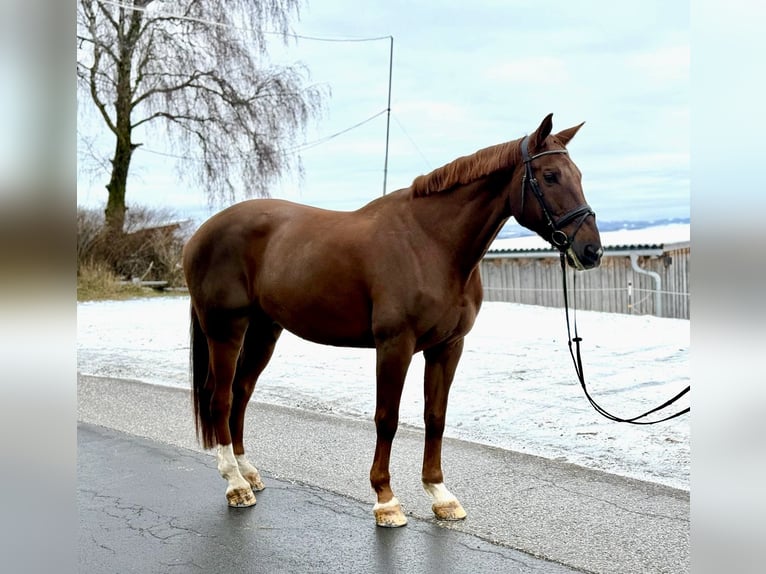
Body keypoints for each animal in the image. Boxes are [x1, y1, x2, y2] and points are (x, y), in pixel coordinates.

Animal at [182, 113, 603, 527]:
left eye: (579, 174)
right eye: (550, 176)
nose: (591, 250)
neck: (431, 244)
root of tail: (200, 234)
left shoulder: (447, 348)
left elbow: (435, 417)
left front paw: (441, 495)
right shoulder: (394, 345)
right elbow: (388, 418)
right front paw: (386, 500)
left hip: (264, 330)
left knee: (241, 392)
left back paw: (248, 472)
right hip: (226, 329)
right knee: (220, 397)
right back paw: (236, 485)